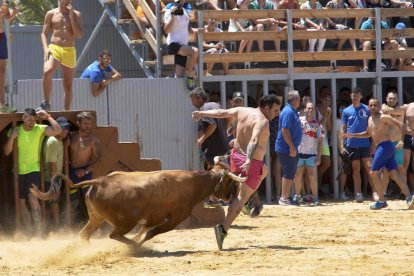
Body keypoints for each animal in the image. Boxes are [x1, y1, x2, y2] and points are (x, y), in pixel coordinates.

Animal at [30, 164, 244, 248]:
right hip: (125, 222)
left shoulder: (155, 217)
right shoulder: (175, 219)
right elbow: (151, 232)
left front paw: (138, 239)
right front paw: (139, 243)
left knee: (84, 234)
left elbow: (146, 229)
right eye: (229, 182)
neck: (192, 183)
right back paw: (135, 247)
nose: (232, 195)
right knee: (114, 234)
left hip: (96, 218)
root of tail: (100, 181)